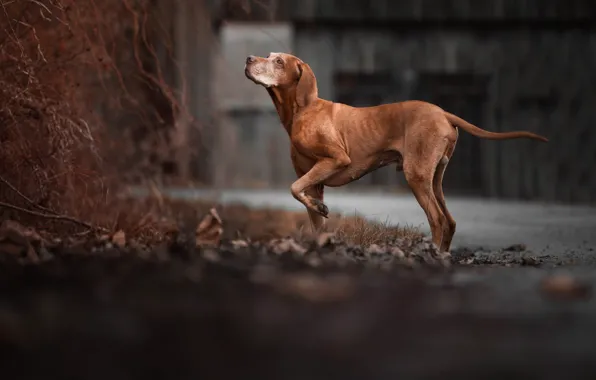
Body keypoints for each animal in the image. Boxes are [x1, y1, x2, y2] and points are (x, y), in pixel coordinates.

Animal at [243, 52, 548, 254]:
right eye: (268, 56)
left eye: (279, 62)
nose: (248, 59)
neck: (302, 110)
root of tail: (443, 113)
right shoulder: (315, 183)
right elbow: (312, 213)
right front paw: (320, 229)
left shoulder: (335, 159)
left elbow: (294, 188)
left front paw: (320, 211)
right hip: (434, 179)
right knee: (449, 220)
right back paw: (443, 256)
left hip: (416, 176)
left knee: (437, 219)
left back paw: (432, 254)